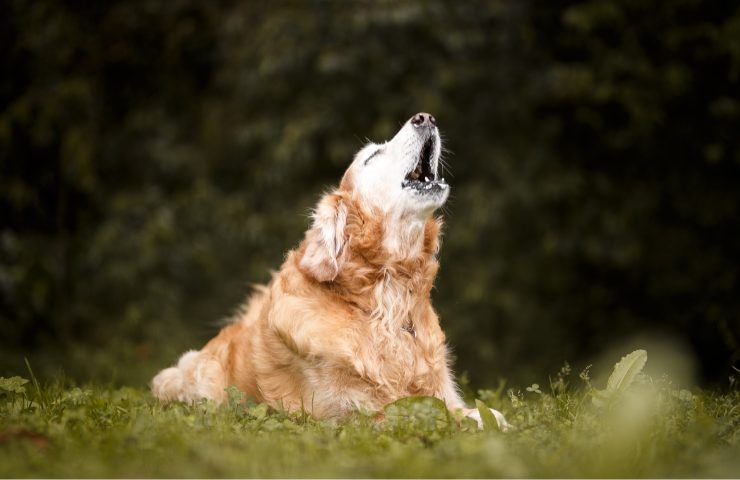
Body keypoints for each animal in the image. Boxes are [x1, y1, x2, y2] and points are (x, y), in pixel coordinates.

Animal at [150, 113, 508, 432]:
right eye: (372, 156)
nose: (425, 117)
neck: (384, 302)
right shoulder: (344, 413)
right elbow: (413, 414)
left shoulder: (441, 390)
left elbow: (461, 408)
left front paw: (486, 417)